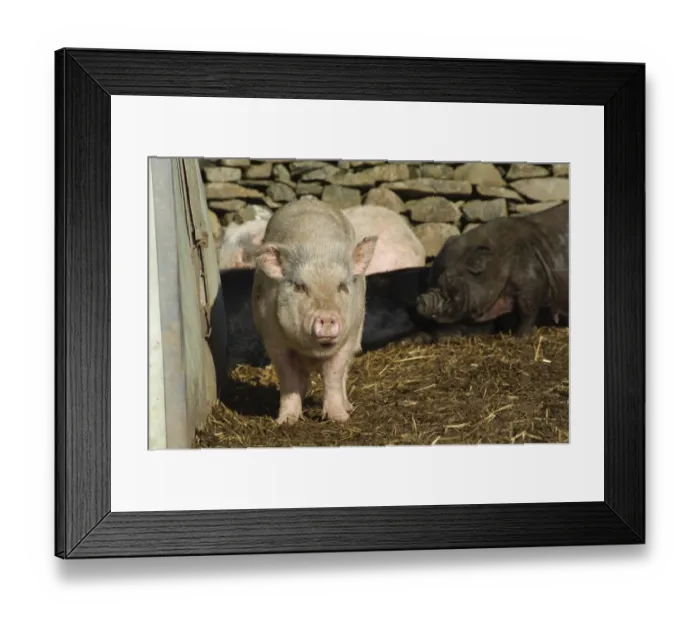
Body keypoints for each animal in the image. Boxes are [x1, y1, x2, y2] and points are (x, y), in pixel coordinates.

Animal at [251, 197, 378, 425]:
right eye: (300, 286)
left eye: (342, 286)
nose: (327, 317)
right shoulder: (274, 340)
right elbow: (288, 380)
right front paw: (286, 421)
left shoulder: (348, 339)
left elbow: (334, 376)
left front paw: (339, 418)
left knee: (344, 374)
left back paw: (348, 407)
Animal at [416, 202, 569, 336]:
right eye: (429, 280)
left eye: (448, 278)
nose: (421, 298)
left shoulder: (531, 282)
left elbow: (526, 310)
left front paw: (519, 336)